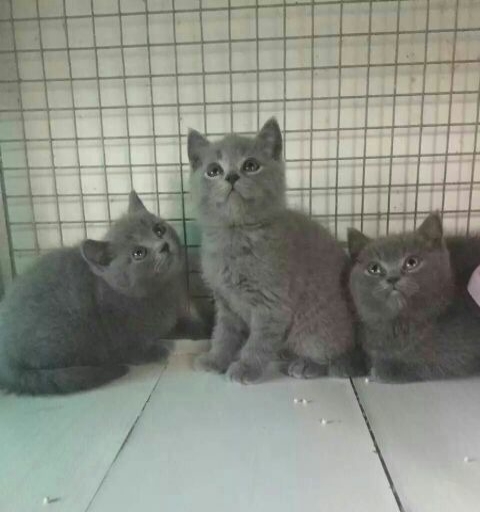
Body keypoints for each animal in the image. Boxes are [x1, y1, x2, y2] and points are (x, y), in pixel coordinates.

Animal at [0, 191, 210, 395]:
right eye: (139, 253)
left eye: (159, 230)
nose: (163, 246)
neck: (159, 291)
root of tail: (5, 360)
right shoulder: (118, 336)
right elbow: (132, 350)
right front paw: (159, 350)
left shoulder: (168, 321)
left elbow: (183, 325)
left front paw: (206, 328)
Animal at [187, 117, 361, 384]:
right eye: (213, 170)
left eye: (251, 165)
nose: (232, 176)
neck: (236, 236)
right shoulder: (225, 304)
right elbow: (224, 334)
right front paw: (215, 359)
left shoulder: (272, 305)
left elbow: (258, 342)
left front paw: (246, 367)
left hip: (315, 326)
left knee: (328, 354)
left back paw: (306, 365)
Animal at [348, 212, 480, 382]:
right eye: (374, 268)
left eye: (412, 262)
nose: (392, 278)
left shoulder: (463, 353)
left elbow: (433, 364)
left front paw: (383, 369)